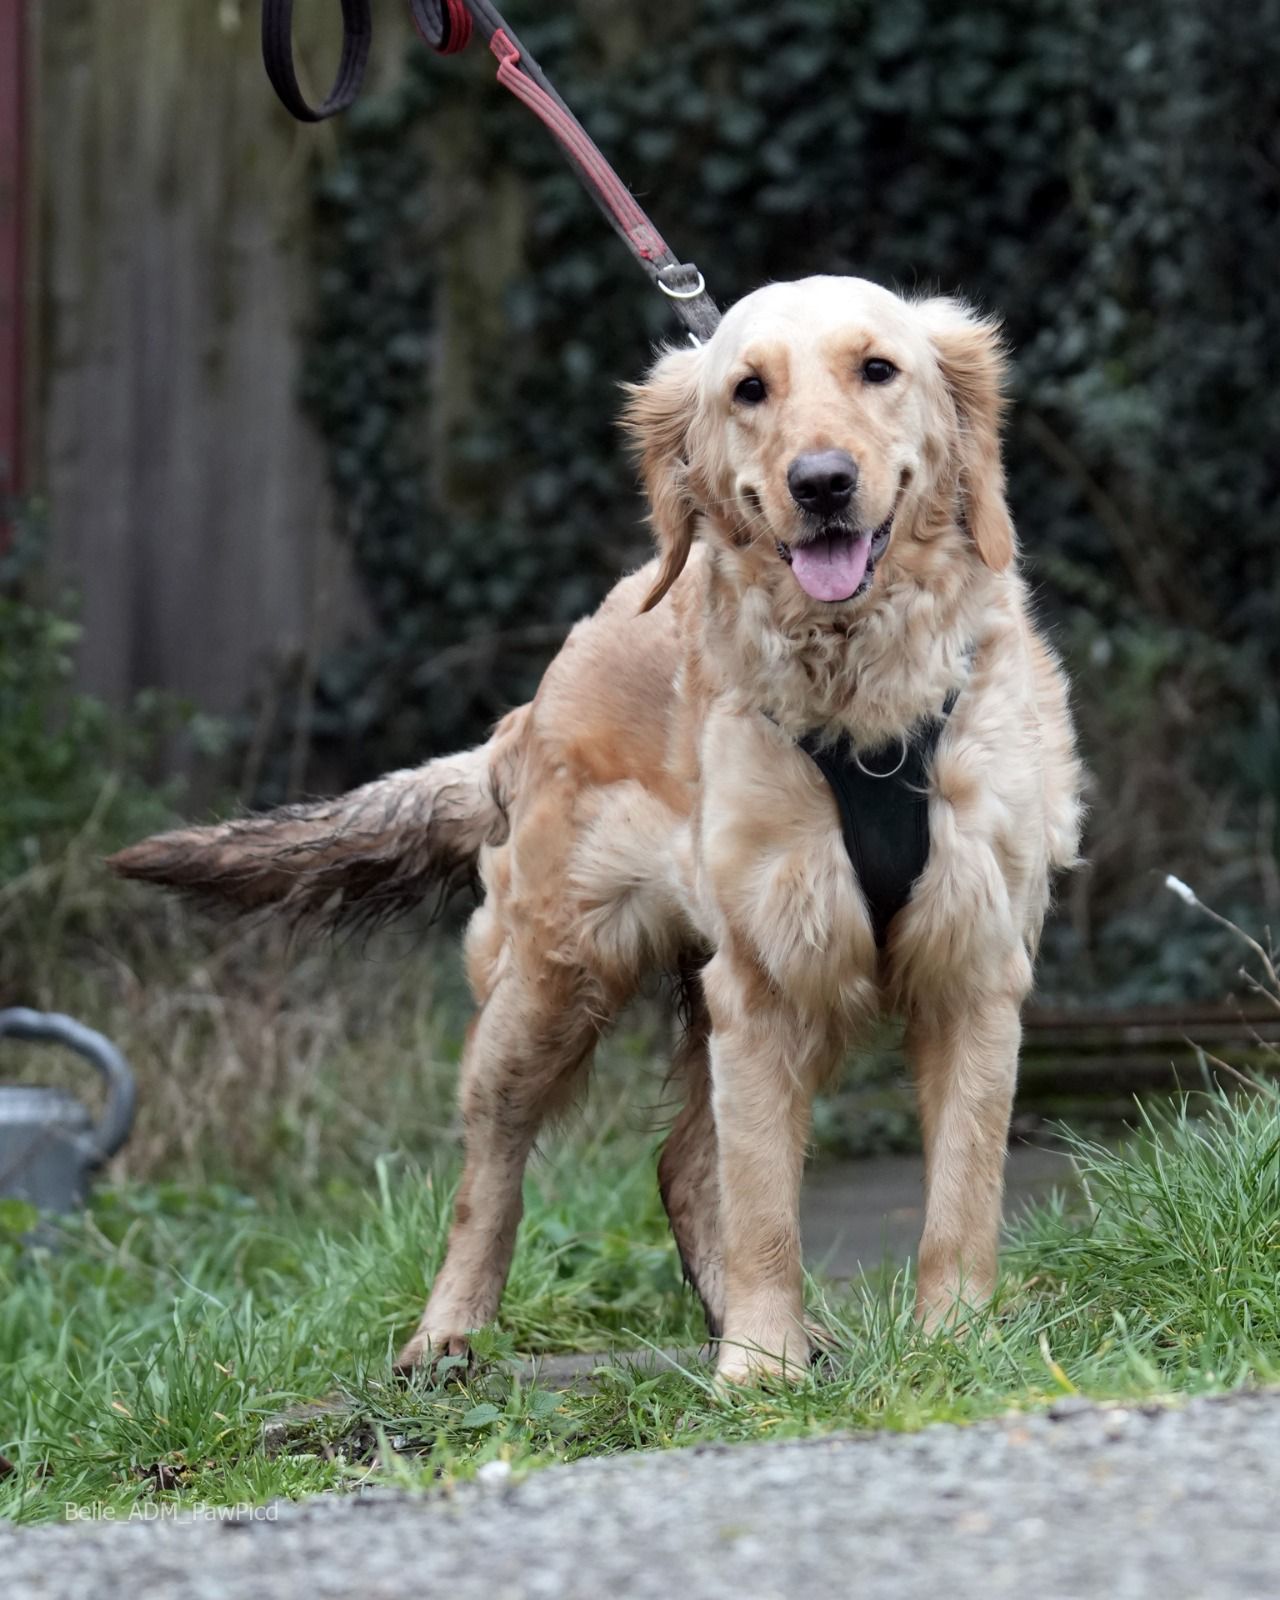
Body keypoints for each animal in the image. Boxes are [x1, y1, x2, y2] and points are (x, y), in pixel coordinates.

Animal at [112, 275, 1084, 1384]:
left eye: (876, 369)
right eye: (750, 389)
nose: (822, 483)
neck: (864, 714)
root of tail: (527, 712)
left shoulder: (971, 967)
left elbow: (961, 1196)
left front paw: (953, 1344)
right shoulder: (766, 979)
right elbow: (764, 1207)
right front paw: (762, 1369)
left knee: (681, 1162)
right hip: (549, 984)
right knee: (491, 1172)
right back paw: (447, 1333)